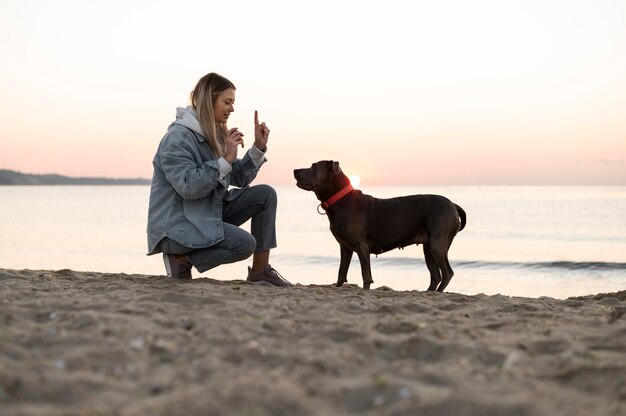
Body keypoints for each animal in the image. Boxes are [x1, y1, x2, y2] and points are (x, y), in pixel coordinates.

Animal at [292, 161, 464, 290]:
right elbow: (341, 272)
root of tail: (453, 205)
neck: (340, 200)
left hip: (437, 243)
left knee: (447, 273)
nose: (294, 170)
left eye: (313, 167)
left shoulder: (361, 246)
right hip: (428, 246)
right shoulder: (345, 247)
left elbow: (366, 276)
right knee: (435, 275)